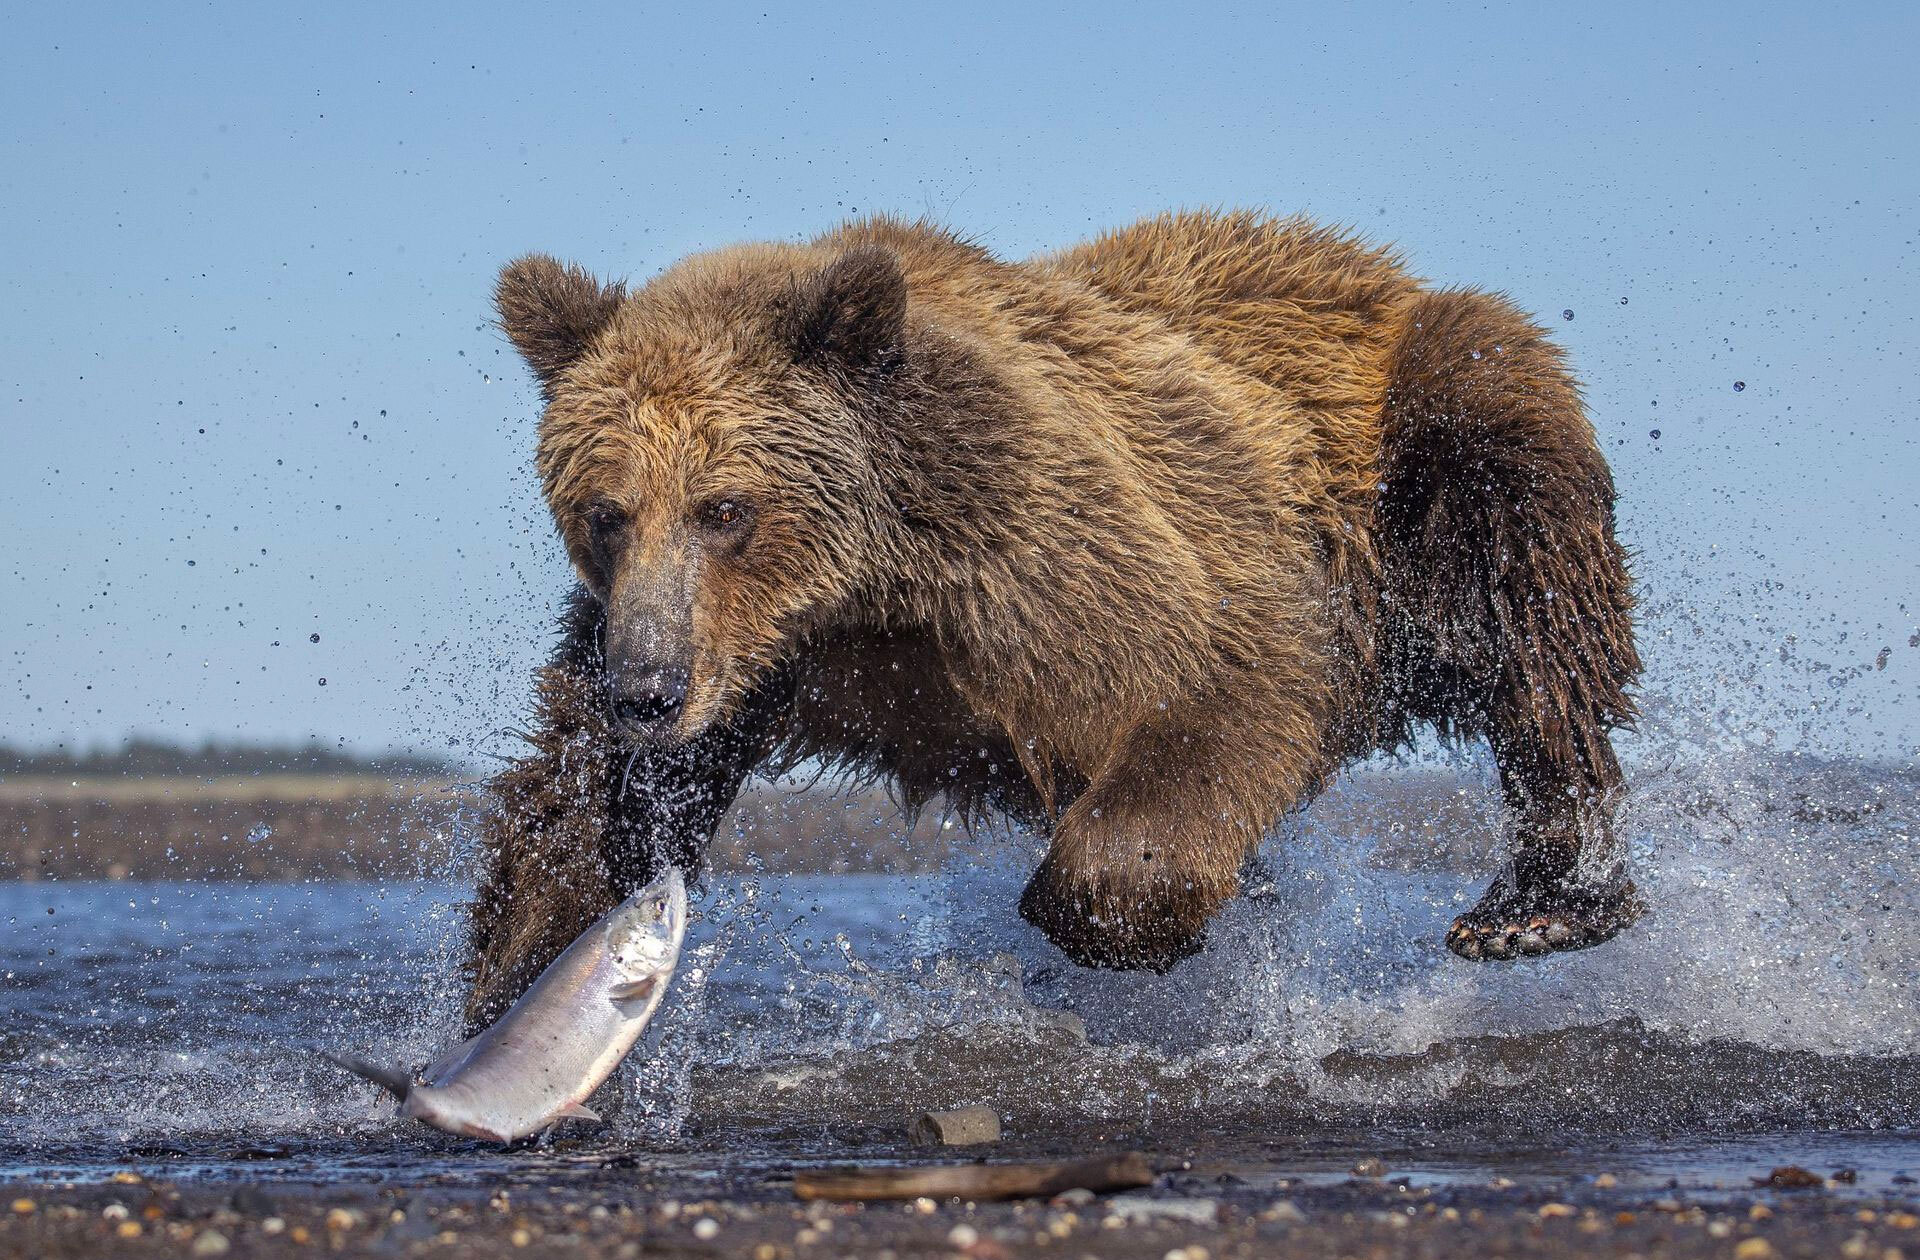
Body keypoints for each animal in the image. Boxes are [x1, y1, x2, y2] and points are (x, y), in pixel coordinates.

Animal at [460, 209, 1635, 1021]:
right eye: (605, 511)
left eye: (725, 507)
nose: (648, 693)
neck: (865, 585)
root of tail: (1363, 261)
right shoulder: (732, 653)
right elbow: (579, 812)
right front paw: (506, 1001)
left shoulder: (1057, 540)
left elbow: (1226, 670)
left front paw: (1122, 913)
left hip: (1414, 452)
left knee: (1531, 586)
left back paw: (1539, 902)